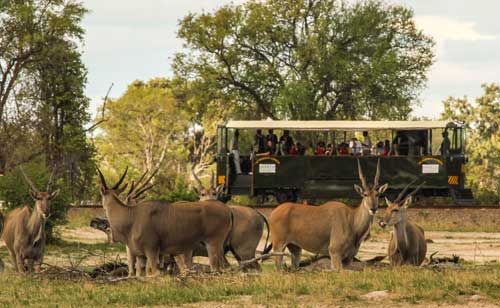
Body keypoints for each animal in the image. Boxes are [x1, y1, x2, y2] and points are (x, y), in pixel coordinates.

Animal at [96, 167, 231, 276]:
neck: (132, 215)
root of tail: (226, 209)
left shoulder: (151, 251)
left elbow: (154, 273)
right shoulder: (141, 256)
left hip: (213, 245)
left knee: (216, 269)